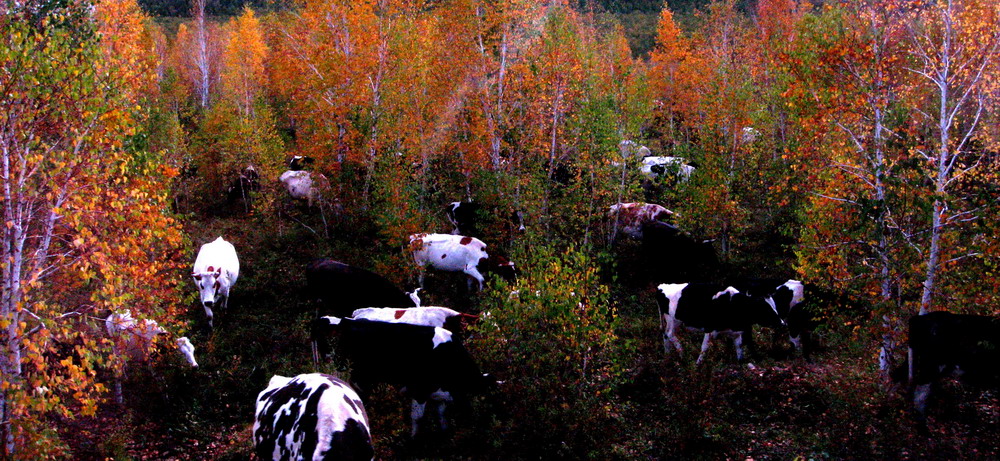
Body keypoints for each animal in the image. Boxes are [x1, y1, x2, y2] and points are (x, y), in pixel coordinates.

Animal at [310, 314, 494, 436]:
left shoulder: (439, 394)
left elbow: (442, 417)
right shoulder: (419, 389)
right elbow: (417, 417)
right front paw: (413, 442)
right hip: (337, 369)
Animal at [652, 282, 784, 364]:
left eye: (774, 305)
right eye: (765, 309)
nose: (782, 323)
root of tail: (662, 286)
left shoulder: (737, 332)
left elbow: (739, 349)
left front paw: (741, 364)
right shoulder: (709, 328)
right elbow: (704, 348)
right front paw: (698, 364)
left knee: (665, 336)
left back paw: (667, 357)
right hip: (673, 319)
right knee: (669, 334)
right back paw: (682, 354)